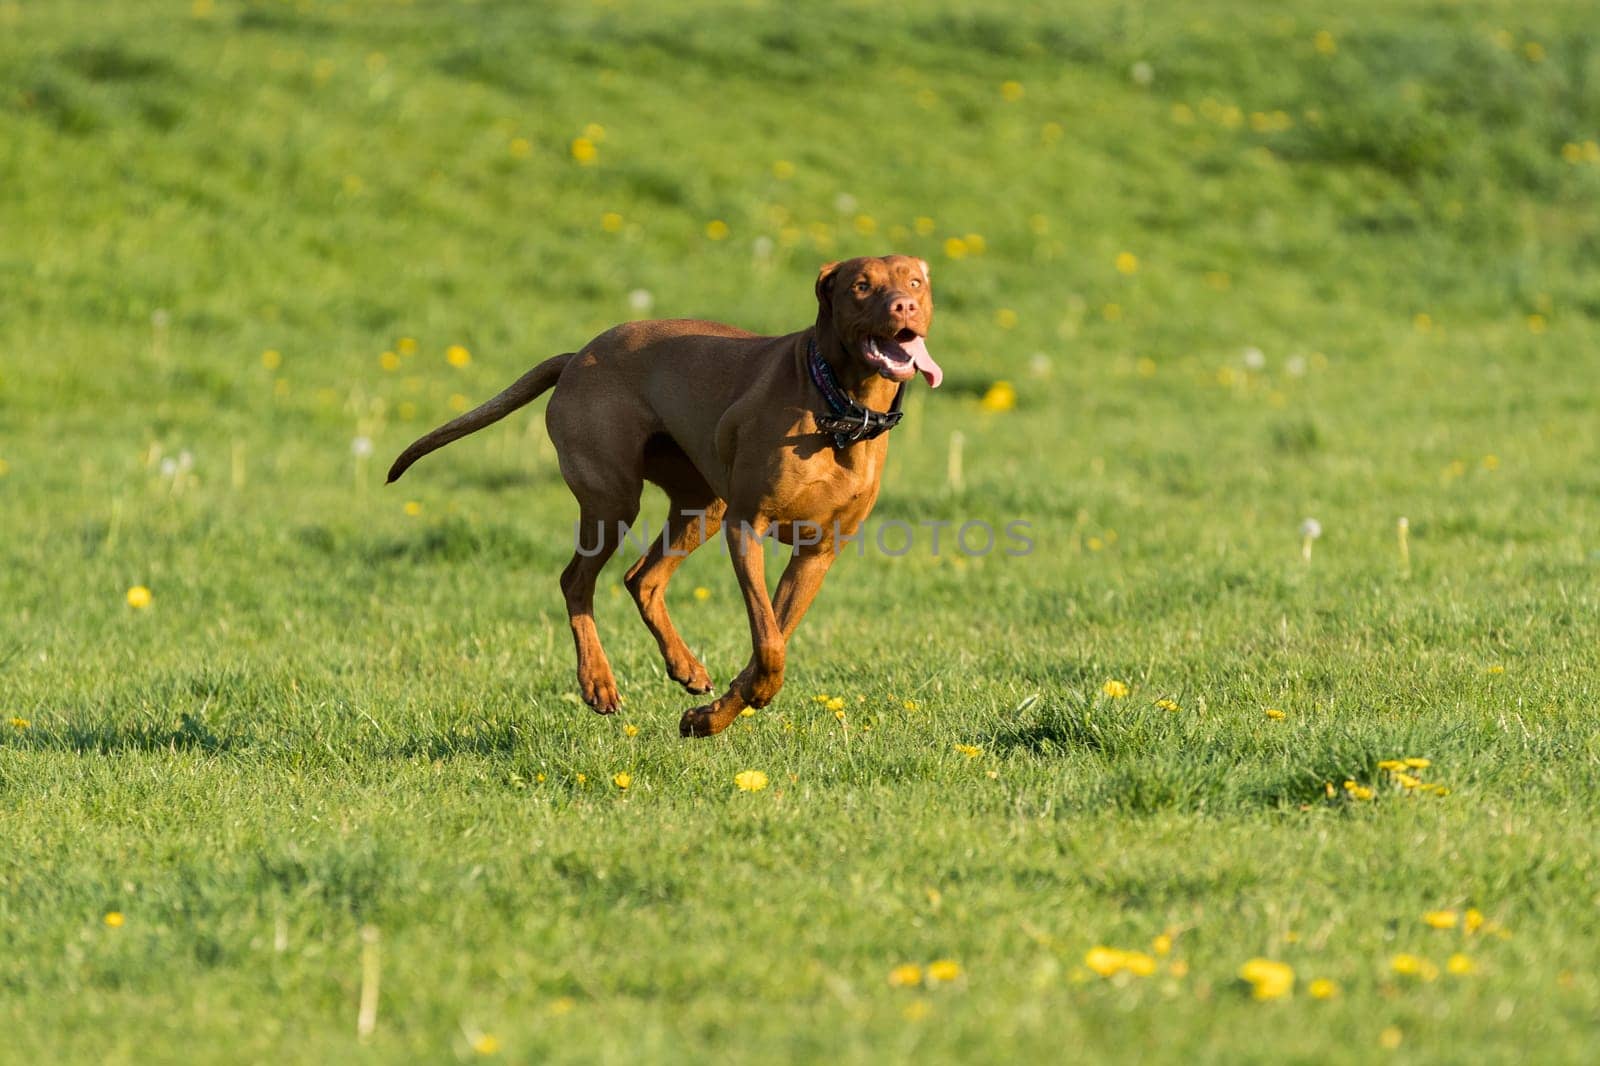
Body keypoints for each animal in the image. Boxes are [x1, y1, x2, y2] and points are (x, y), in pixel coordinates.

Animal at [387, 254, 934, 736]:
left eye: (914, 282)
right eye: (861, 286)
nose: (904, 306)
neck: (839, 410)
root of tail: (576, 356)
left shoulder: (817, 553)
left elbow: (767, 644)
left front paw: (707, 719)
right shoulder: (746, 526)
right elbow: (769, 646)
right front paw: (750, 696)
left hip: (701, 506)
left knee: (642, 579)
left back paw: (685, 666)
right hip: (615, 500)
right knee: (575, 580)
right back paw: (598, 682)